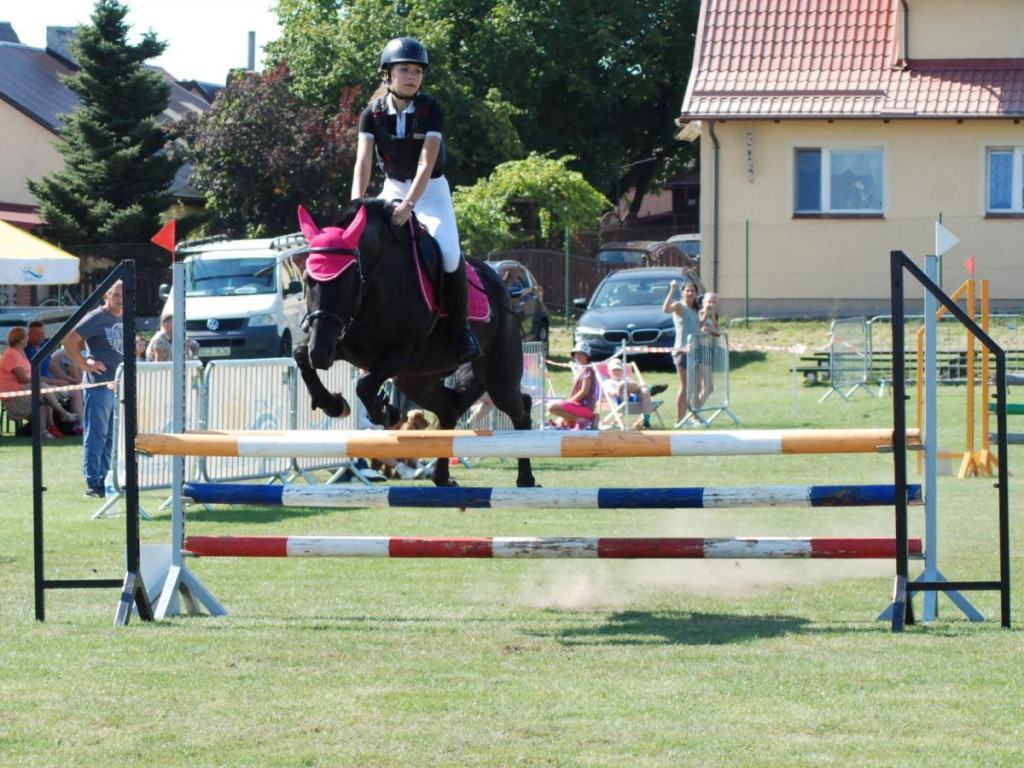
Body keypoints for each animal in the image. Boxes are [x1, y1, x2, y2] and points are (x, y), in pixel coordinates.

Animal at [290, 198, 536, 487]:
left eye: (348, 279)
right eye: (308, 279)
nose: (320, 352)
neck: (375, 282)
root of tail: (500, 283)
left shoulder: (406, 352)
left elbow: (364, 384)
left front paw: (385, 412)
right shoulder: (347, 345)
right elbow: (300, 354)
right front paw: (333, 404)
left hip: (497, 375)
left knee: (519, 407)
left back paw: (525, 479)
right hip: (416, 380)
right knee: (449, 409)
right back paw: (443, 478)